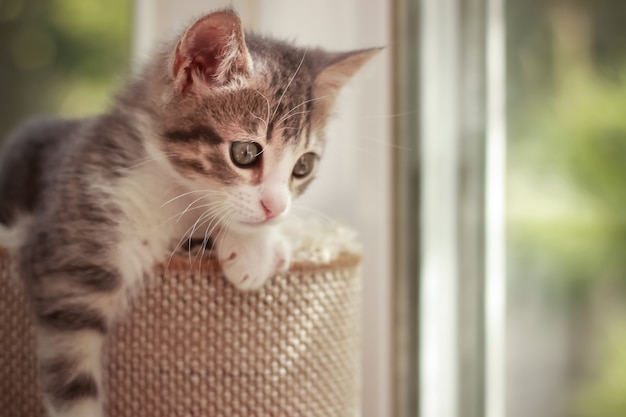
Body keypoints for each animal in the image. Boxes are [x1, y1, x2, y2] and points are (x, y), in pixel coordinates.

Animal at [0, 8, 378, 416]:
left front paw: (254, 247)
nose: (276, 208)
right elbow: (72, 374)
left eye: (303, 166)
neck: (173, 194)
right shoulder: (72, 251)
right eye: (245, 153)